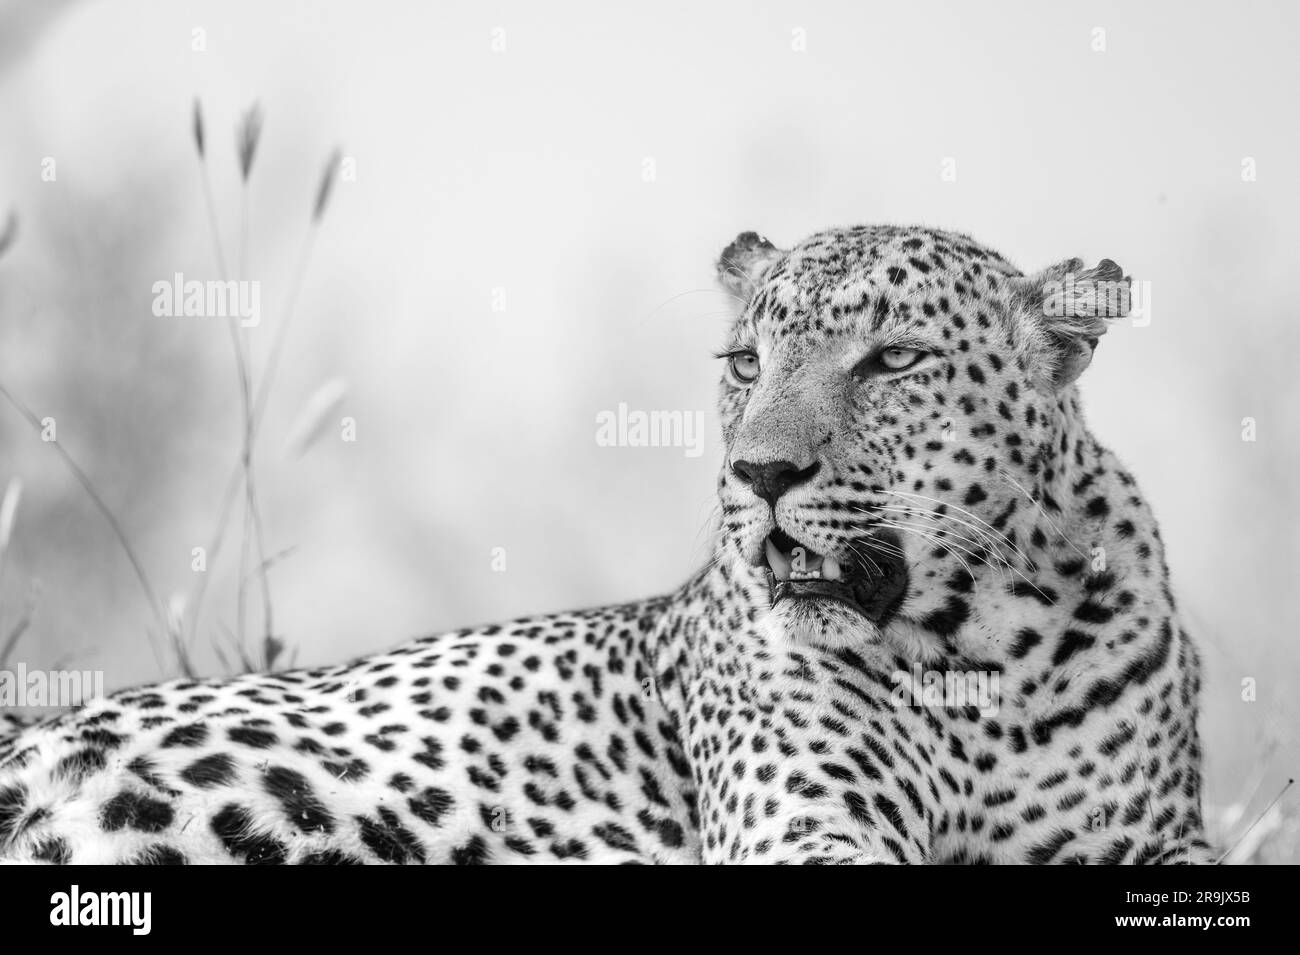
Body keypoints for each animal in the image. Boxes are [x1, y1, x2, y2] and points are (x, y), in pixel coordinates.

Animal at [0, 223, 1211, 867]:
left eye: (895, 361)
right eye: (744, 363)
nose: (759, 475)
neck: (976, 653)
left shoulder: (1153, 847)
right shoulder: (800, 832)